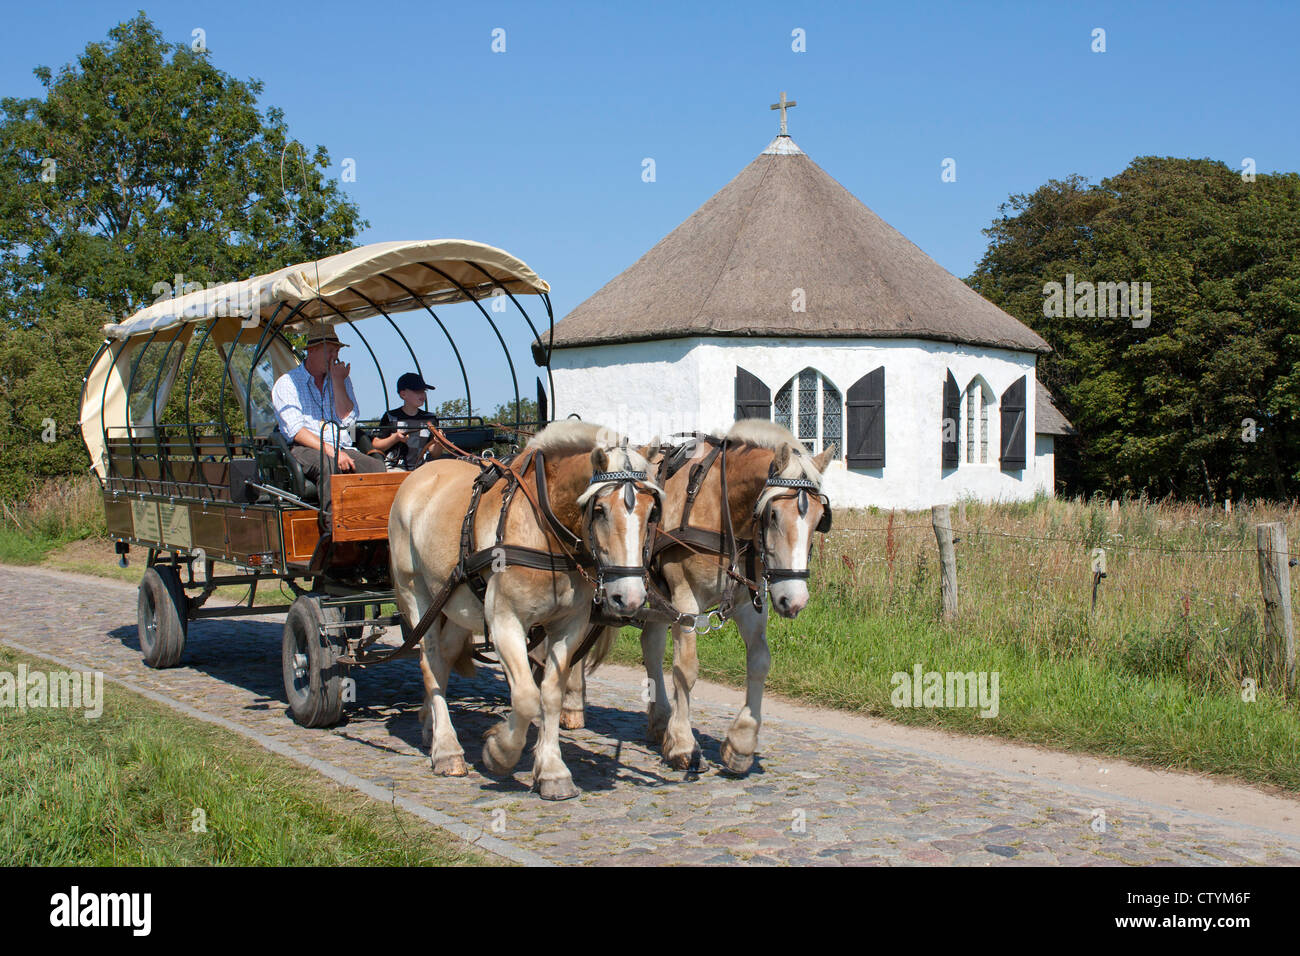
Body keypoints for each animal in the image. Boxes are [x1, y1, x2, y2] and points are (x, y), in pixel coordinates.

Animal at [387, 421, 660, 806]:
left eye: (652, 512)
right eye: (601, 510)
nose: (630, 597)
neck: (545, 528)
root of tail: (420, 473)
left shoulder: (569, 625)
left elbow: (550, 694)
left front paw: (553, 772)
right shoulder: (505, 622)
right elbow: (527, 697)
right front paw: (499, 751)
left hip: (454, 604)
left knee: (445, 657)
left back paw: (431, 725)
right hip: (417, 594)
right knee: (430, 662)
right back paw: (447, 749)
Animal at [561, 421, 832, 780]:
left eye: (819, 518)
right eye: (773, 515)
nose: (794, 600)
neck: (719, 506)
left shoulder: (746, 605)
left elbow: (760, 662)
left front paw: (741, 744)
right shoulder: (685, 599)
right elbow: (686, 669)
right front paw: (684, 745)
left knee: (650, 646)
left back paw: (659, 720)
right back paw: (572, 704)